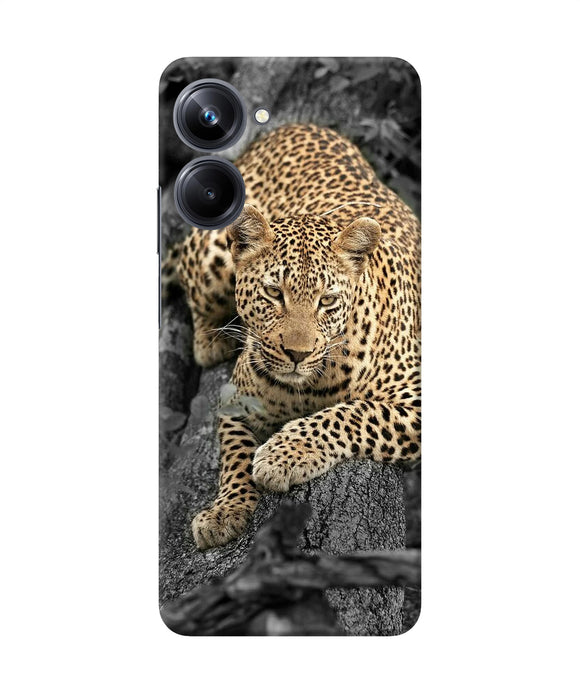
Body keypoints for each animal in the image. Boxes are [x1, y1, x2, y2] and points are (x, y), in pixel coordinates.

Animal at [166, 123, 421, 550]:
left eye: (327, 300)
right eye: (273, 293)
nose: (297, 354)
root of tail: (293, 126)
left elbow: (352, 414)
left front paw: (282, 455)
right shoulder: (235, 399)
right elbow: (234, 455)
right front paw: (225, 510)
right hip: (212, 254)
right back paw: (211, 340)